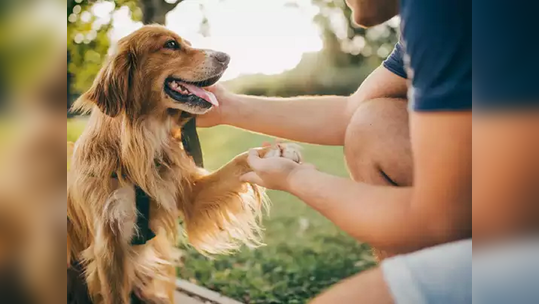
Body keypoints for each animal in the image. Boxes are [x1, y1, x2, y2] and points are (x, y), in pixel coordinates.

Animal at [67, 24, 302, 304]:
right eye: (170, 44)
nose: (226, 57)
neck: (138, 147)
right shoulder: (109, 247)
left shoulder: (188, 194)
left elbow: (237, 164)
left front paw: (276, 153)